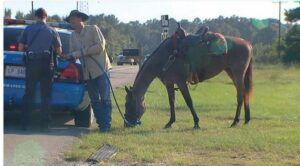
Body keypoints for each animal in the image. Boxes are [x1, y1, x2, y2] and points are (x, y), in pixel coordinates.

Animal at [124, 26, 253, 129]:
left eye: (128, 104)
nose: (127, 124)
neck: (166, 57)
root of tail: (247, 43)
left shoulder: (181, 82)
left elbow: (189, 101)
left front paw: (196, 123)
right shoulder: (169, 83)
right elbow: (171, 102)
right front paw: (170, 122)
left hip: (237, 73)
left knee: (240, 95)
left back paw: (235, 121)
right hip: (232, 73)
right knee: (244, 93)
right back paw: (246, 120)